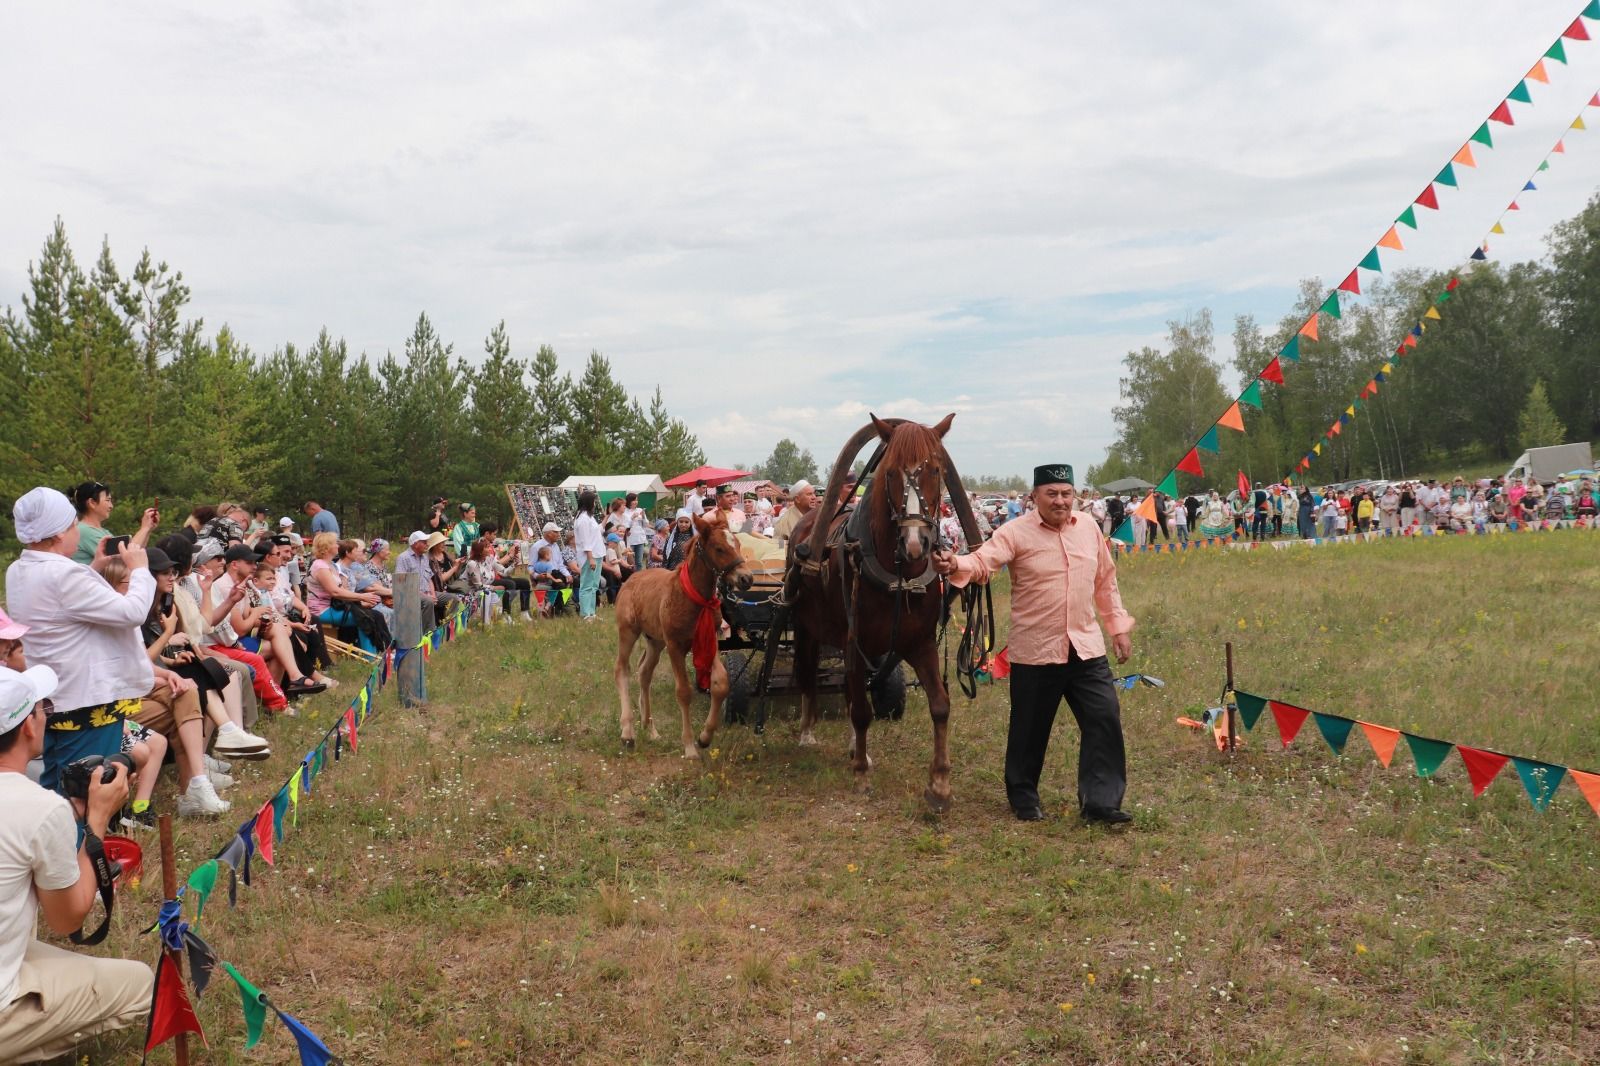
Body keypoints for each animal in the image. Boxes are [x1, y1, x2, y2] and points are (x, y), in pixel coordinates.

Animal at [617, 508, 755, 752]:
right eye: (719, 548)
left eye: (738, 544)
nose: (746, 578)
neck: (693, 597)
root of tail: (632, 577)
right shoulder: (675, 646)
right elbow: (683, 691)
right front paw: (690, 746)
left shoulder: (711, 640)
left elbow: (720, 684)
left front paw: (705, 737)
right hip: (628, 632)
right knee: (622, 669)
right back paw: (627, 731)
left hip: (655, 641)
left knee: (644, 673)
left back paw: (650, 729)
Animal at [784, 409, 972, 809]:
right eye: (890, 472)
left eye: (936, 470)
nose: (915, 543)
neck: (898, 576)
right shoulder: (856, 642)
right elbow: (861, 710)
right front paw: (860, 773)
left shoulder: (920, 644)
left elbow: (940, 705)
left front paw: (940, 784)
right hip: (807, 627)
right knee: (808, 674)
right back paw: (809, 730)